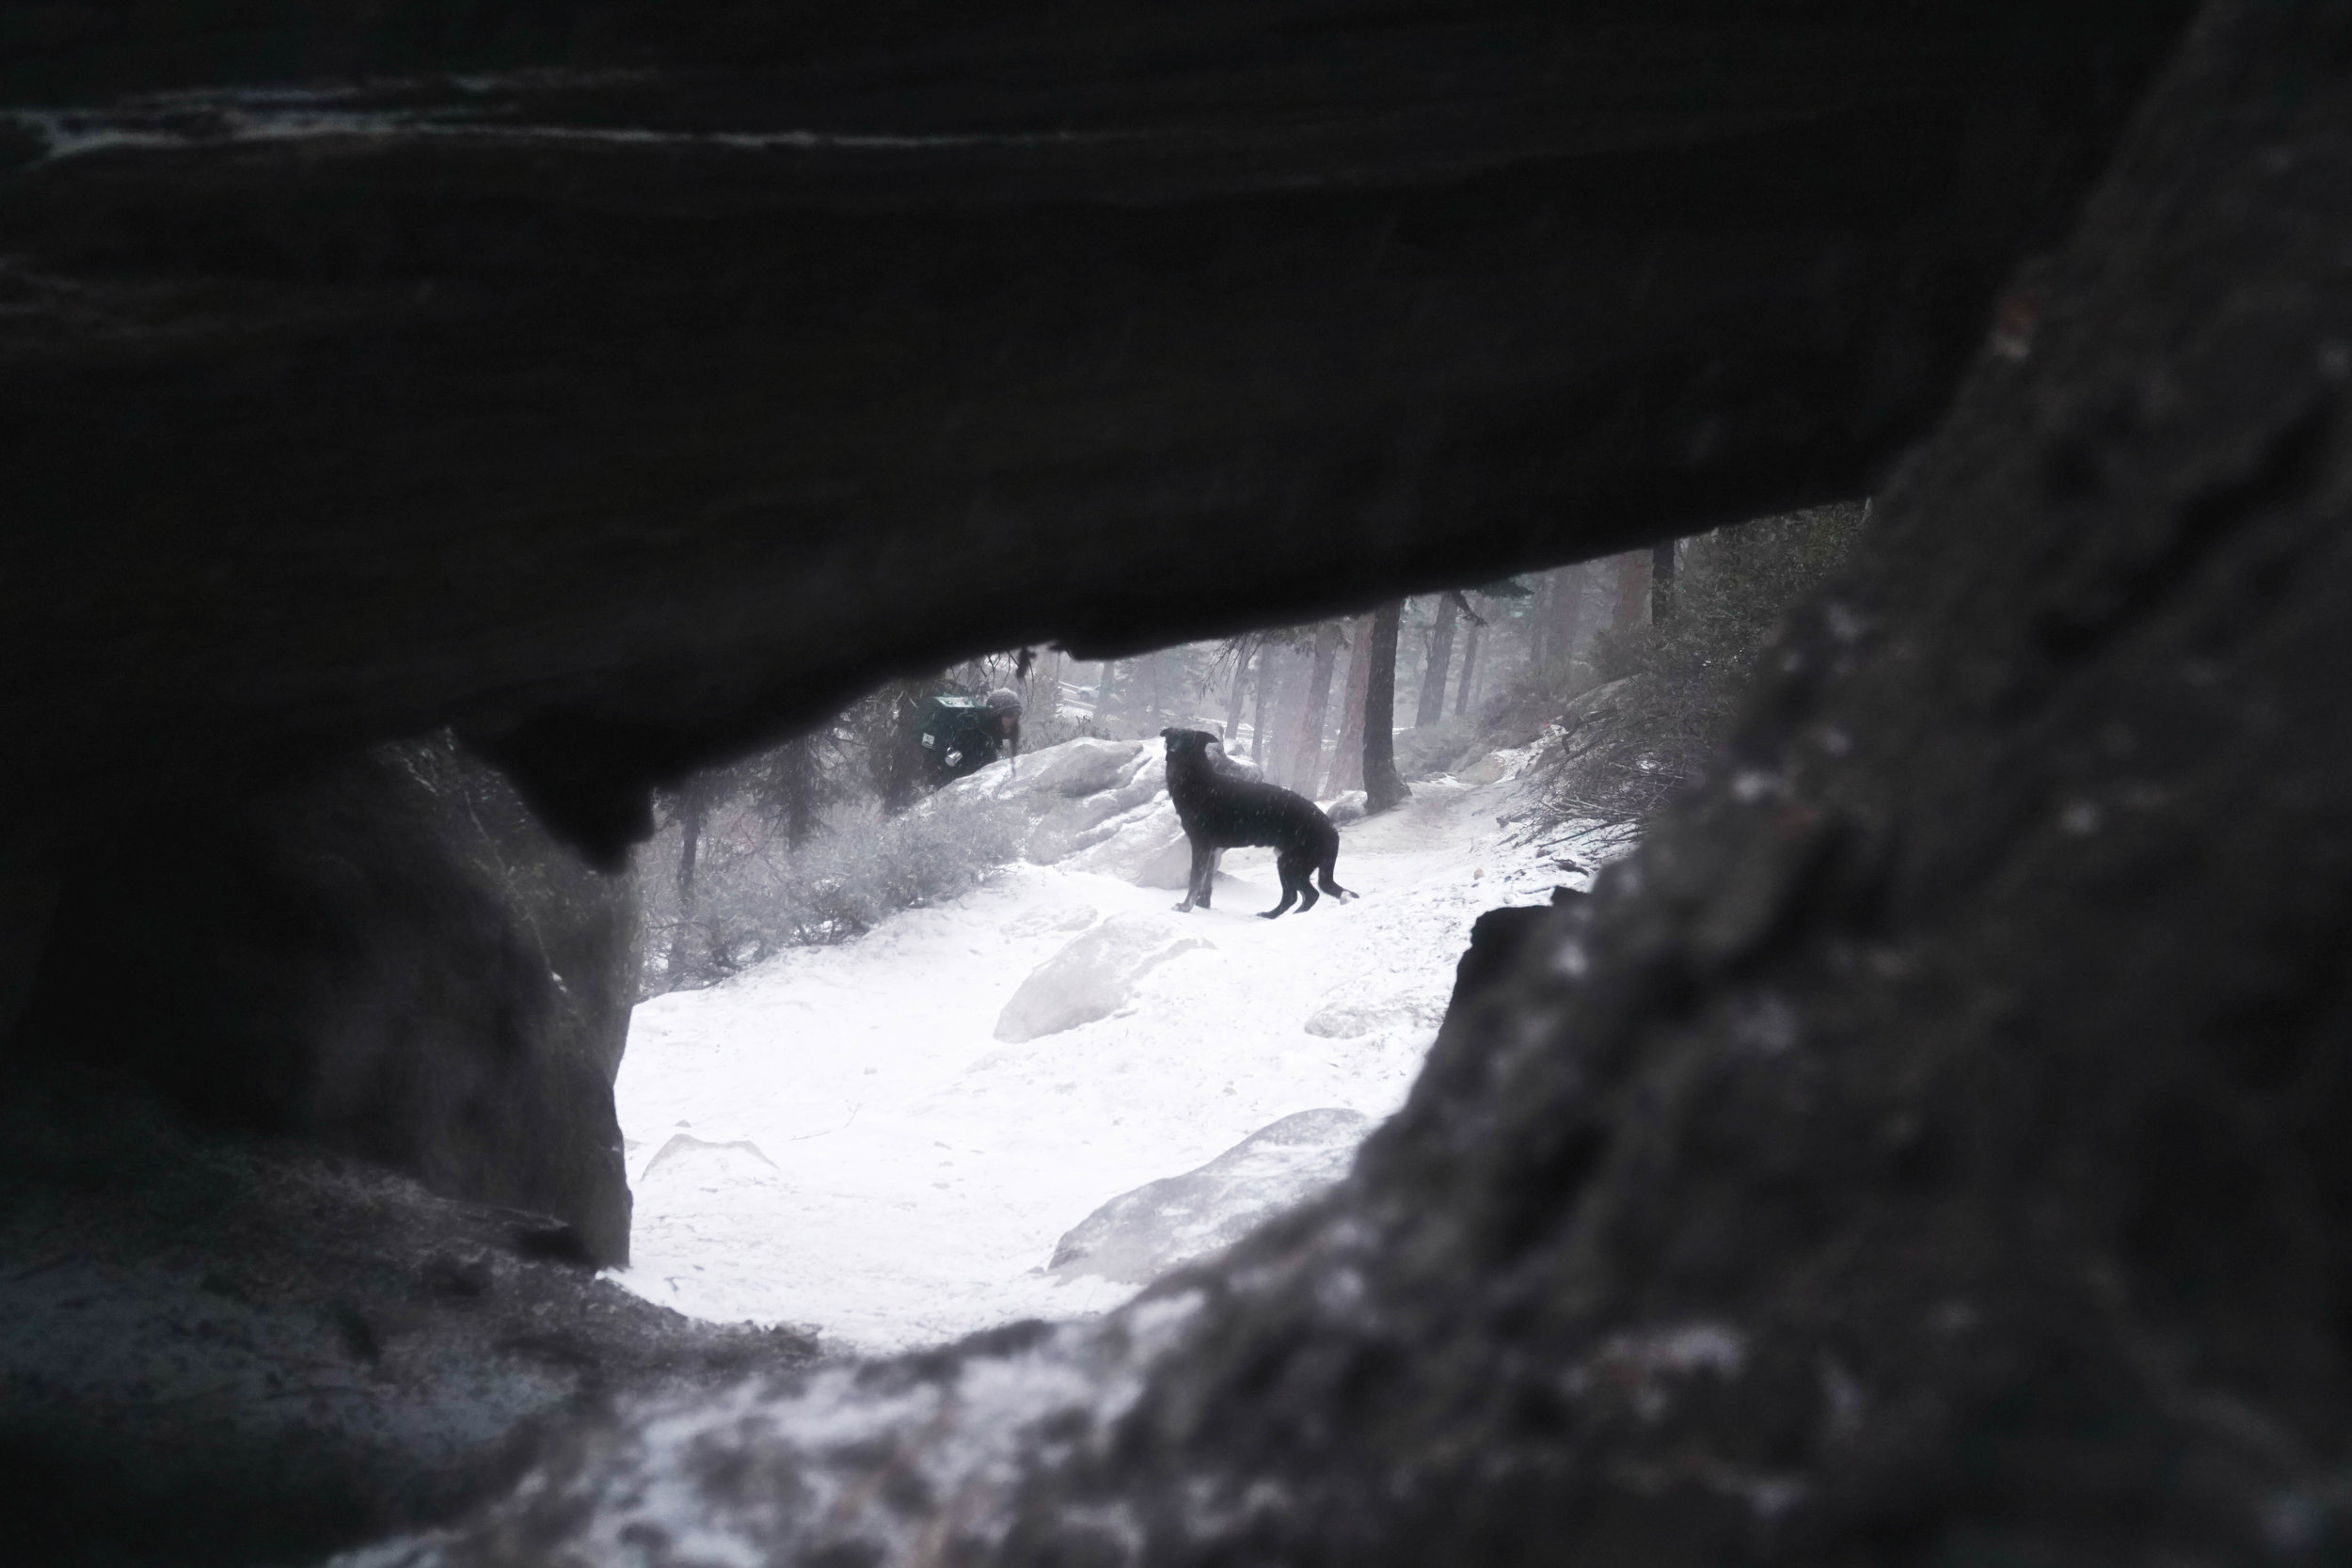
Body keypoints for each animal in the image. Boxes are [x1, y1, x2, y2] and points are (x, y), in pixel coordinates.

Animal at [1162, 728, 1355, 921]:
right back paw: (1276, 916)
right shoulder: (1212, 850)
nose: (1172, 752)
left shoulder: (1201, 845)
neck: (1197, 781)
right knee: (1299, 896)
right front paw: (1203, 903)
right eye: (1173, 738)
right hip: (1288, 862)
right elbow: (1206, 881)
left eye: (1189, 741)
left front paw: (1185, 907)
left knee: (1303, 895)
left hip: (1290, 864)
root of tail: (1332, 829)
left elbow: (1195, 879)